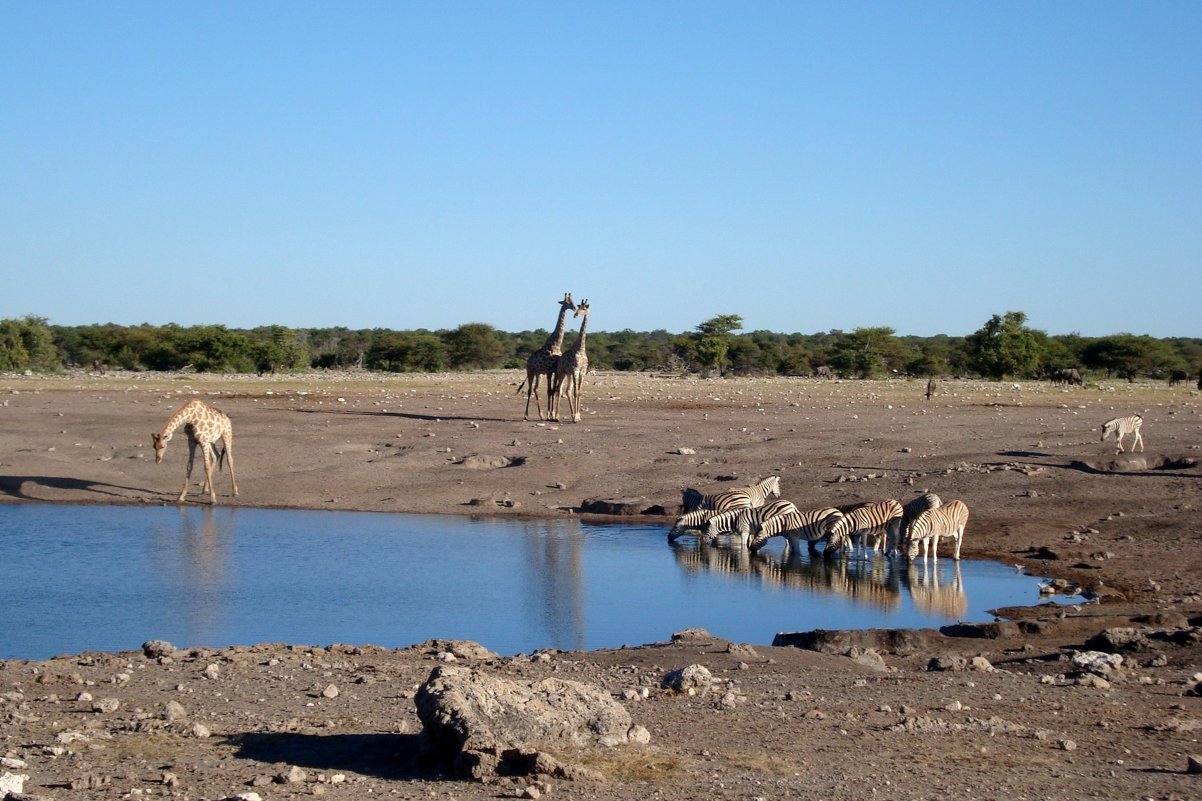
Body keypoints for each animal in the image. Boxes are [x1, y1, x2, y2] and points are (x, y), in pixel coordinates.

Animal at [514, 289, 574, 420]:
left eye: (573, 301)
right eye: (566, 302)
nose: (574, 307)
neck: (556, 344)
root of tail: (528, 360)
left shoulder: (554, 370)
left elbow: (554, 390)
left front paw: (551, 414)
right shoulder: (549, 371)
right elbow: (549, 391)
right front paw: (549, 414)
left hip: (538, 374)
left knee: (536, 389)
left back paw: (540, 415)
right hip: (530, 371)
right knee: (530, 390)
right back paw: (526, 415)